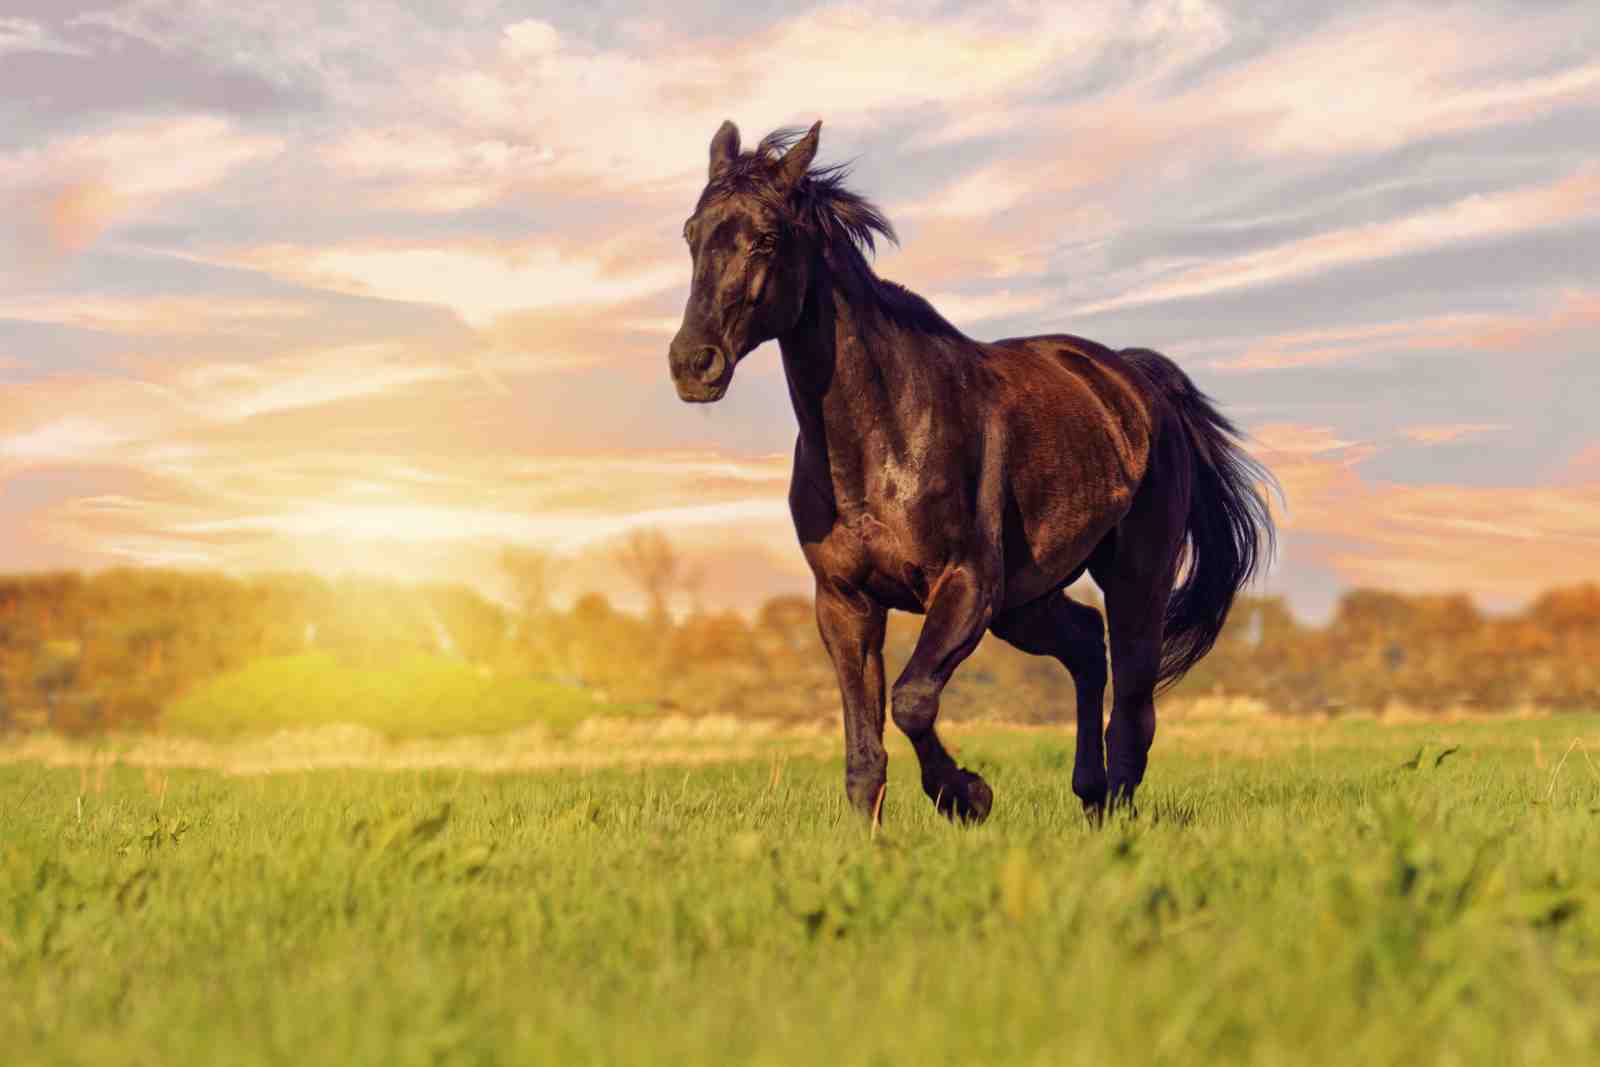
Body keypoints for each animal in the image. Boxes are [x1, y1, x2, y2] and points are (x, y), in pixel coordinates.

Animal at [667, 119, 1277, 823]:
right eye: (692, 233)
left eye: (766, 238)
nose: (692, 363)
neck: (883, 439)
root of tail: (1136, 379)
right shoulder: (845, 602)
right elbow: (864, 755)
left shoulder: (966, 585)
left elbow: (911, 701)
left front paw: (968, 796)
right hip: (1026, 601)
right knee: (1086, 648)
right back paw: (1088, 791)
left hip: (1134, 579)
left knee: (1132, 708)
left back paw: (1111, 812)